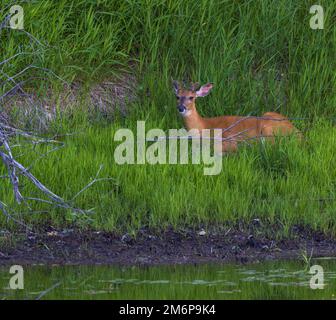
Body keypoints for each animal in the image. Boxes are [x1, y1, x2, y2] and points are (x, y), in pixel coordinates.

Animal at [173, 79, 302, 151]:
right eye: (177, 97)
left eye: (191, 97)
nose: (181, 108)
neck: (203, 126)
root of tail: (300, 135)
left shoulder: (228, 139)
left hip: (268, 128)